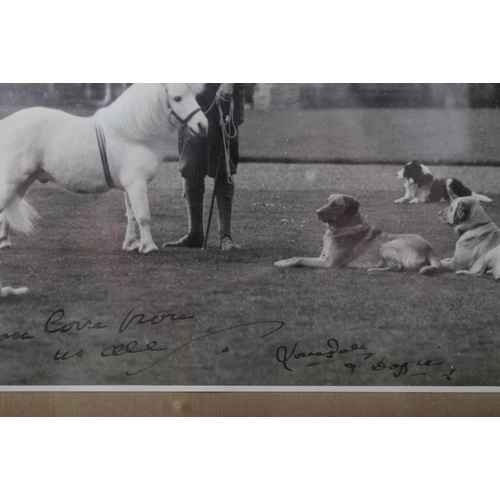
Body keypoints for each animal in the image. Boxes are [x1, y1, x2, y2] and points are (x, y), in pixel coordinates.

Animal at [0, 84, 208, 254]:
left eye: (195, 96)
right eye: (177, 98)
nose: (203, 126)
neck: (134, 134)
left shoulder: (130, 186)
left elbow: (131, 215)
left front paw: (132, 244)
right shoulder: (137, 184)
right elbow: (143, 216)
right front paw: (149, 247)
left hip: (24, 181)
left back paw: (4, 242)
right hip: (13, 180)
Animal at [276, 194, 440, 274]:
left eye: (335, 205)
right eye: (327, 201)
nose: (317, 212)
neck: (345, 226)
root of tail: (430, 249)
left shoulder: (328, 263)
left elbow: (300, 259)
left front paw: (284, 264)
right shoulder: (321, 258)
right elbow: (297, 257)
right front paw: (283, 261)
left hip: (386, 246)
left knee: (398, 267)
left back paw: (373, 270)